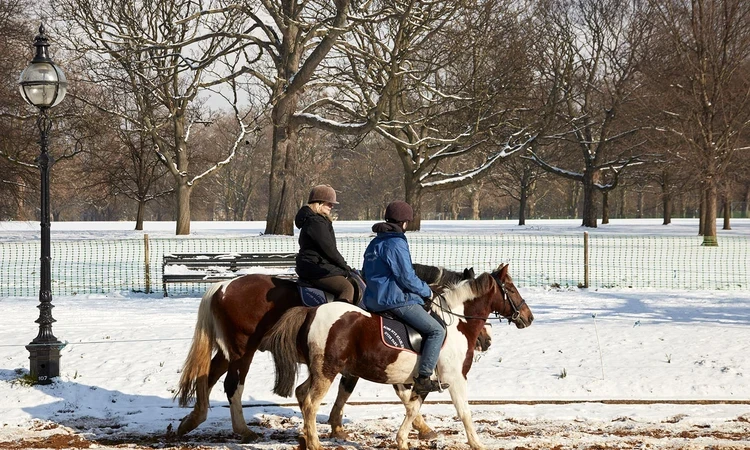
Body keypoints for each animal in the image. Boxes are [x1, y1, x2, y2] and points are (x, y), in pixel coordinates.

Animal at [173, 263, 475, 441]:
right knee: (232, 384)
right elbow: (378, 390)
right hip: (243, 350)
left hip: (229, 351)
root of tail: (222, 287)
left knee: (207, 375)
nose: (482, 340)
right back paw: (241, 429)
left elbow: (350, 389)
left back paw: (192, 420)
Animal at [259, 264, 533, 450]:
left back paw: (306, 437)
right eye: (510, 288)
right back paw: (315, 443)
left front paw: (403, 440)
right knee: (310, 403)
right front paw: (477, 443)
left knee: (302, 393)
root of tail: (312, 311)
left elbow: (412, 408)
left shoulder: (422, 380)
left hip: (320, 370)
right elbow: (464, 412)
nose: (528, 317)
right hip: (327, 371)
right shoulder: (455, 378)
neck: (456, 323)